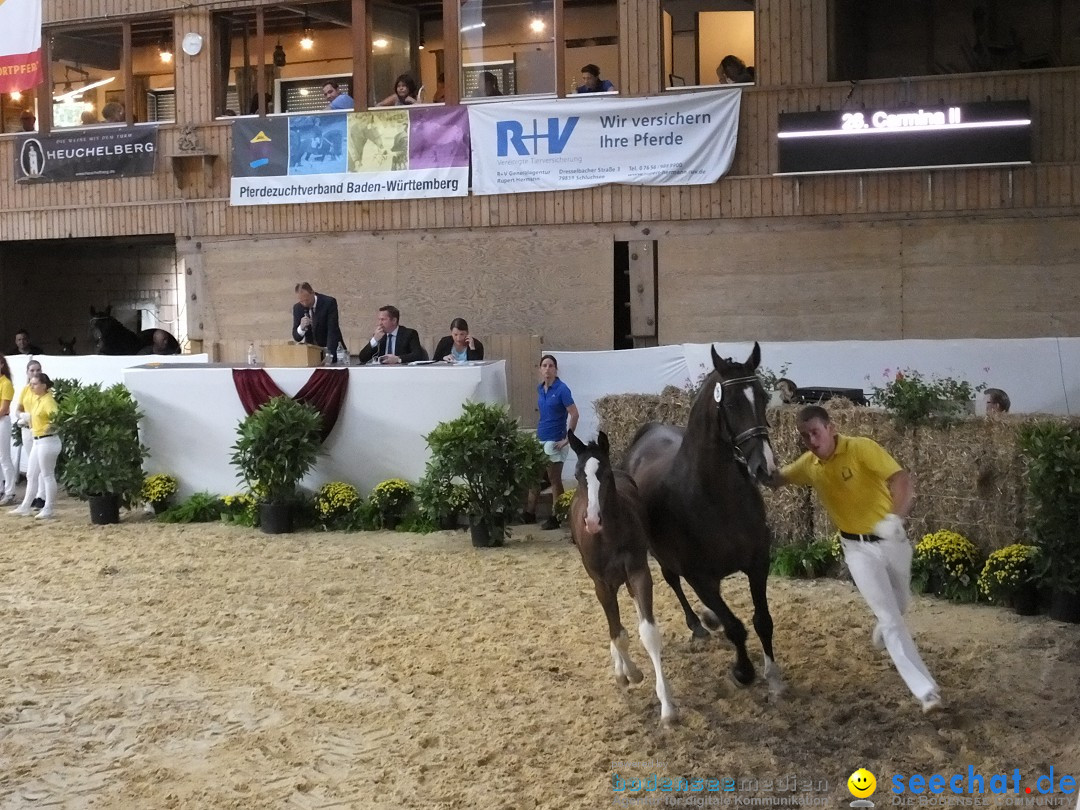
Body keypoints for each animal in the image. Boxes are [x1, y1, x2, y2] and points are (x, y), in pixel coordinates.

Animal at [565, 427, 673, 725]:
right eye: (577, 475)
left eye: (605, 473)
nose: (592, 521)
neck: (608, 537)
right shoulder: (602, 584)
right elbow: (617, 634)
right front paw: (628, 673)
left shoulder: (638, 572)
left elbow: (647, 631)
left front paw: (667, 706)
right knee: (614, 627)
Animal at [626, 345, 786, 695]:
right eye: (731, 403)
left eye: (763, 397)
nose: (765, 467)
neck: (717, 500)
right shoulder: (700, 578)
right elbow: (736, 627)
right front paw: (743, 671)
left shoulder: (758, 564)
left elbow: (762, 620)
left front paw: (773, 674)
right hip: (664, 557)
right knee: (672, 580)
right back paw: (698, 624)